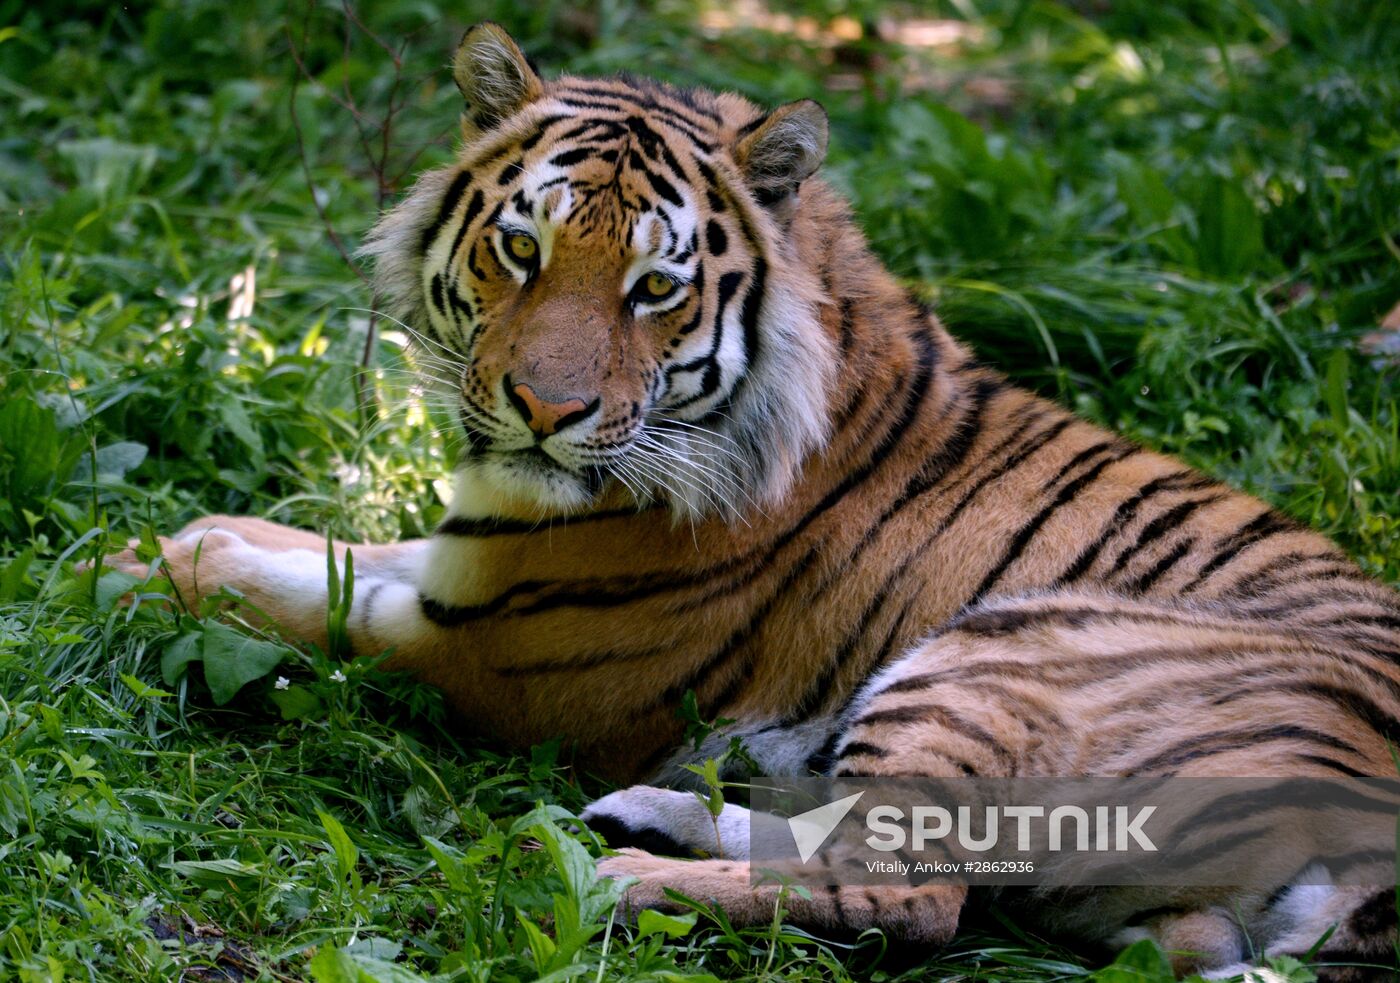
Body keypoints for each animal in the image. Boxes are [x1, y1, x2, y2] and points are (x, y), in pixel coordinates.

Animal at [101, 23, 1400, 983]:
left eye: (654, 288)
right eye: (520, 251)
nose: (543, 408)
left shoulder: (490, 647)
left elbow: (303, 593)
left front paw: (144, 563)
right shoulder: (465, 558)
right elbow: (325, 542)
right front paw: (166, 533)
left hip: (996, 655)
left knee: (902, 893)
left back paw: (618, 876)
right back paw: (643, 815)